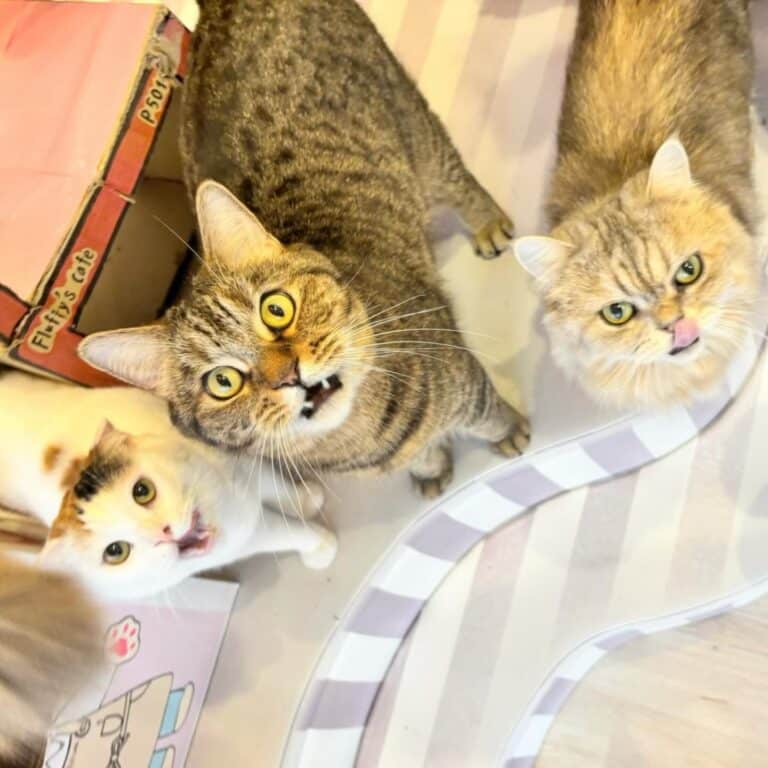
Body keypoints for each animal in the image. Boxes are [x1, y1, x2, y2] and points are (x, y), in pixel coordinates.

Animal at [0, 370, 336, 600]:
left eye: (142, 491)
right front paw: (323, 549)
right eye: (116, 552)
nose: (164, 532)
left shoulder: (243, 466)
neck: (227, 505)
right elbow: (291, 533)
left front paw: (309, 499)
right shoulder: (248, 537)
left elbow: (279, 488)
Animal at [77, 0, 530, 499]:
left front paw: (511, 433)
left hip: (416, 129)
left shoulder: (464, 378)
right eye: (222, 382)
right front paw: (431, 469)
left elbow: (489, 417)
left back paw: (488, 225)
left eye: (276, 309)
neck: (363, 432)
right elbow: (420, 455)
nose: (289, 374)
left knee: (459, 180)